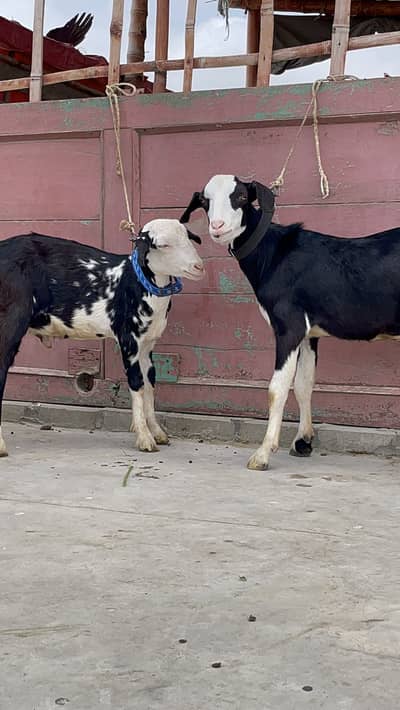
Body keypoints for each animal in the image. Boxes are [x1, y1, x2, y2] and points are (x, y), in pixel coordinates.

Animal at [0, 219, 204, 457]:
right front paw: (145, 438)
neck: (136, 283)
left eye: (188, 237)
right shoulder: (129, 339)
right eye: (163, 245)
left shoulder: (147, 345)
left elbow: (150, 384)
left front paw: (157, 432)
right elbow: (137, 383)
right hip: (8, 324)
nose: (199, 267)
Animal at [181, 173, 400, 470]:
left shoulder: (289, 325)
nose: (217, 226)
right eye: (205, 201)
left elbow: (277, 388)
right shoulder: (309, 333)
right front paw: (303, 441)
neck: (272, 256)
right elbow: (304, 383)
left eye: (240, 197)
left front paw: (262, 454)